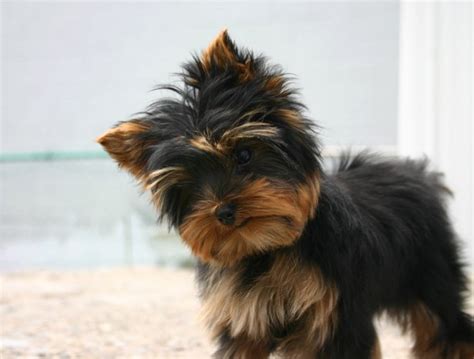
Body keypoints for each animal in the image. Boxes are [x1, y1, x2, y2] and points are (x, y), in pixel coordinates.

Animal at [98, 31, 472, 359]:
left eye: (243, 155)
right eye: (191, 185)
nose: (224, 211)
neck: (267, 248)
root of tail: (417, 172)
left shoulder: (334, 319)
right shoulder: (243, 321)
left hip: (431, 272)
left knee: (446, 326)